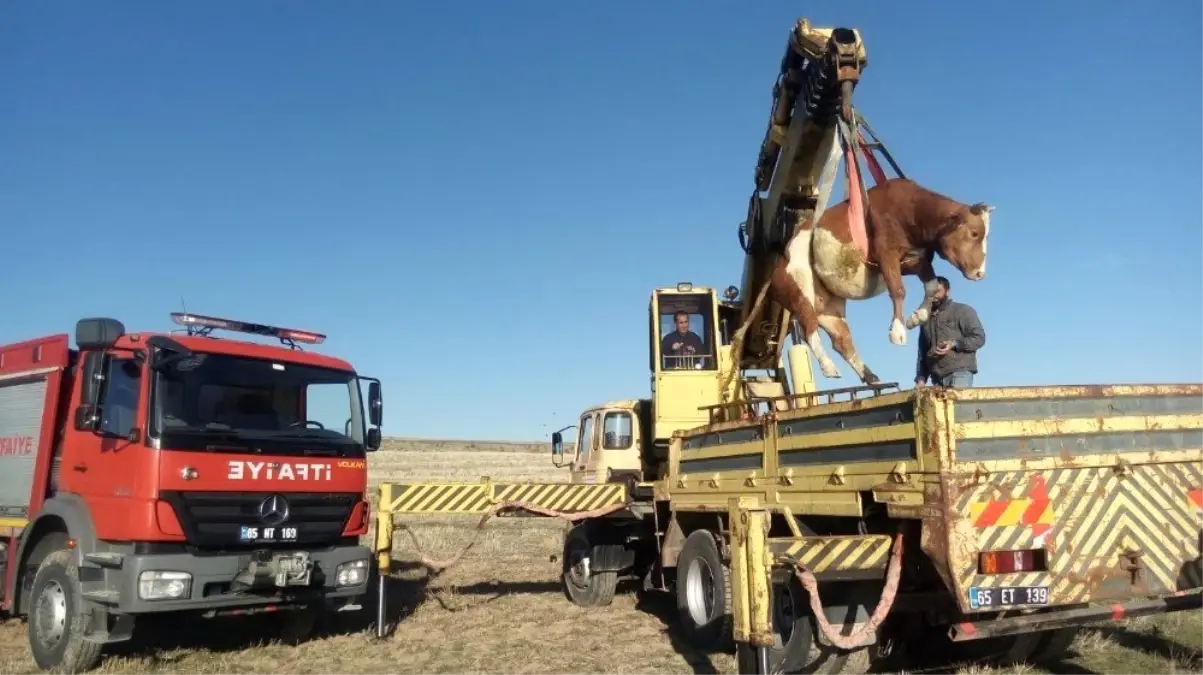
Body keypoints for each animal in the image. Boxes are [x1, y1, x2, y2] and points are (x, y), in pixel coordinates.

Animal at [769, 176, 996, 382]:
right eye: (974, 233)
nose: (980, 273)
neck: (910, 210)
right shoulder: (887, 255)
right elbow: (898, 290)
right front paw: (898, 331)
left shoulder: (913, 260)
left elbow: (931, 286)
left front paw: (917, 316)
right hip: (799, 290)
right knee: (808, 329)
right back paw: (829, 367)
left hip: (829, 306)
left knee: (841, 339)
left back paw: (870, 376)